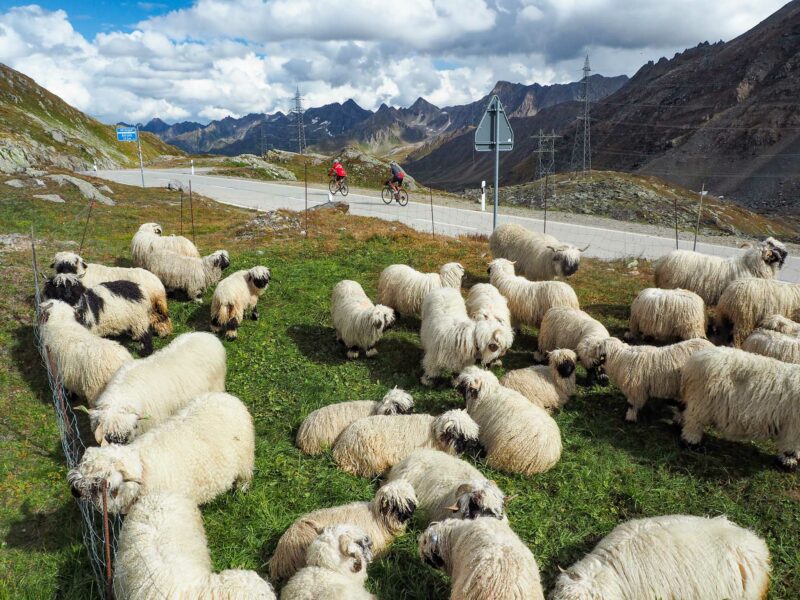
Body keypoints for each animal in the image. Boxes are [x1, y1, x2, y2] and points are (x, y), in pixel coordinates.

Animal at [68, 392, 254, 514]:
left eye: (104, 480)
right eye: (83, 464)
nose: (75, 491)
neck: (143, 467)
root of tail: (226, 397)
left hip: (245, 458)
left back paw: (241, 490)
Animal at [582, 336, 713, 423]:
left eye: (598, 347)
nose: (586, 350)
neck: (619, 358)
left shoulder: (636, 389)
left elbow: (632, 404)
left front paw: (629, 418)